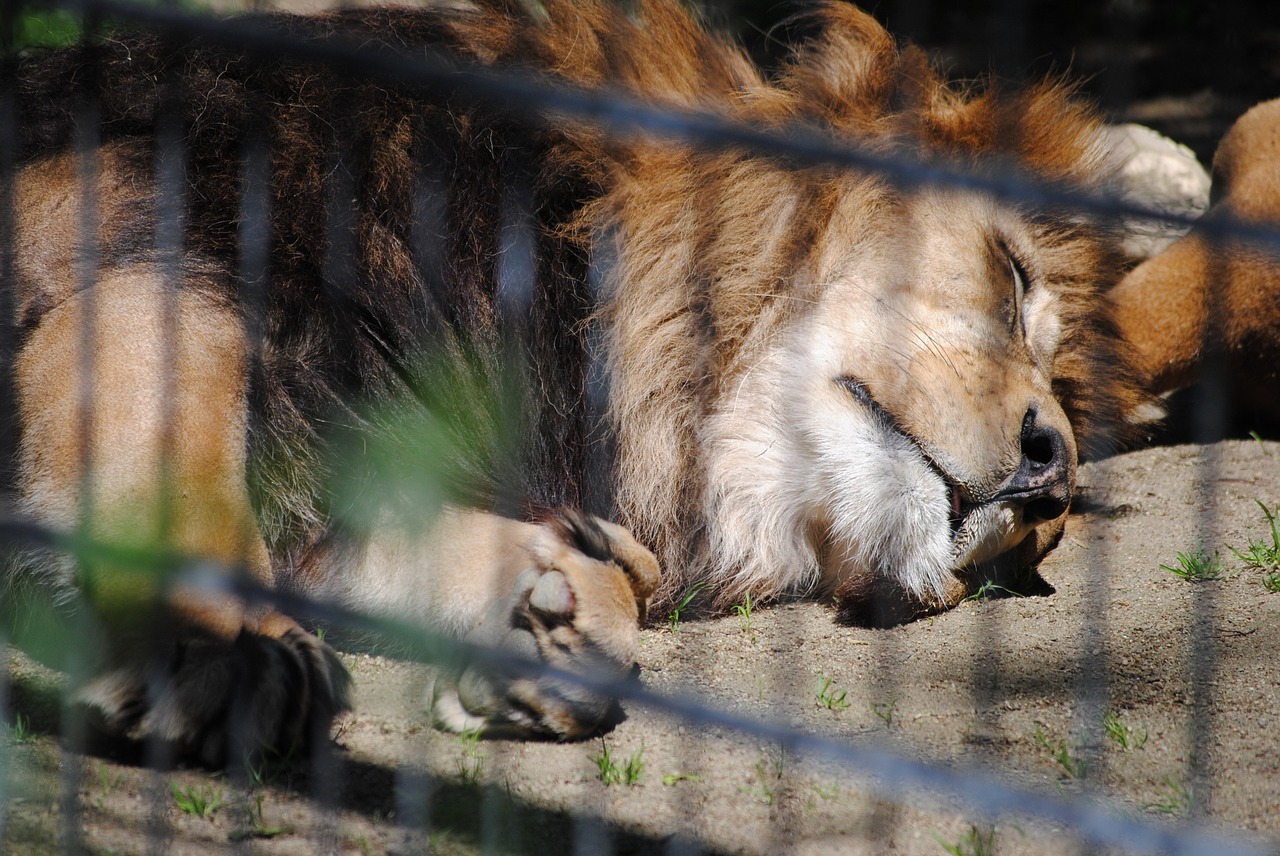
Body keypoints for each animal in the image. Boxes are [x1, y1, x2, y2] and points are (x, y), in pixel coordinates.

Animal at [5, 0, 1192, 762]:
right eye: (1013, 278)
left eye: (1038, 551)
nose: (1046, 484)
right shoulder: (164, 261)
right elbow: (169, 465)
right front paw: (224, 650)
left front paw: (549, 606)